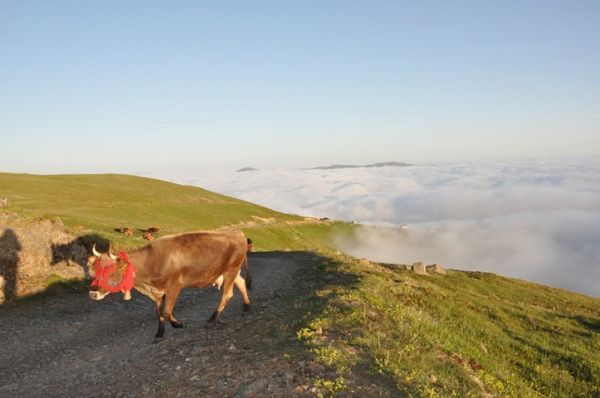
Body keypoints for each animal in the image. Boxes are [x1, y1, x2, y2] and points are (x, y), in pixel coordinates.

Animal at [87, 230, 251, 338]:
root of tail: (238, 233)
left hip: (231, 270)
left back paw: (213, 317)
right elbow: (158, 313)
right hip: (231, 272)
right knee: (242, 283)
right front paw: (159, 333)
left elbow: (166, 312)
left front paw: (178, 324)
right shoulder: (157, 291)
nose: (93, 294)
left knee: (227, 294)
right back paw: (247, 306)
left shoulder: (174, 286)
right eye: (96, 271)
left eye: (111, 273)